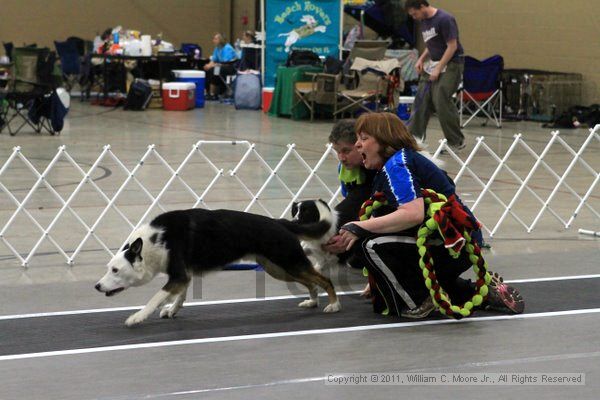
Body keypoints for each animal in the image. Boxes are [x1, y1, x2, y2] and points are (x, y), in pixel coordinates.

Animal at [95, 205, 340, 326]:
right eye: (108, 268)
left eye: (115, 270)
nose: (97, 286)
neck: (155, 241)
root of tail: (280, 223)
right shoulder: (183, 275)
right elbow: (180, 295)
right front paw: (173, 310)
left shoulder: (178, 275)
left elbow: (156, 297)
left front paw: (137, 317)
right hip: (278, 268)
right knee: (311, 282)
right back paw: (312, 301)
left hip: (289, 263)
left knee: (324, 279)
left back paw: (334, 305)